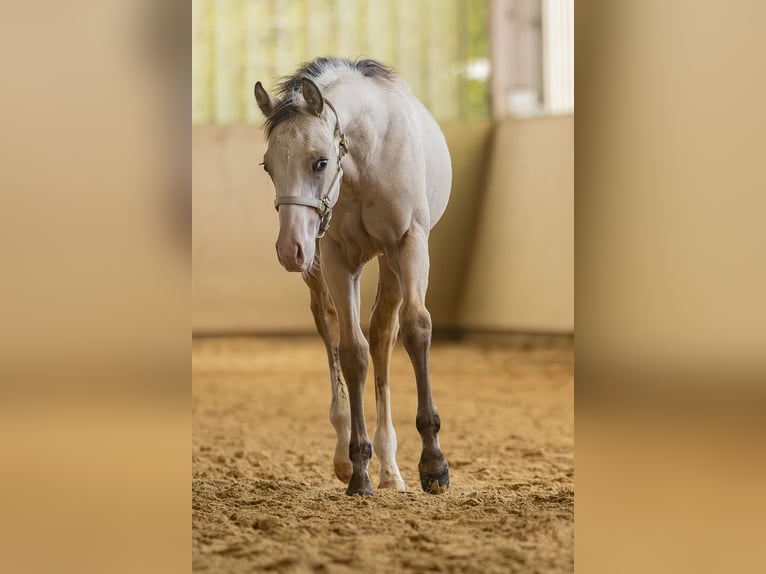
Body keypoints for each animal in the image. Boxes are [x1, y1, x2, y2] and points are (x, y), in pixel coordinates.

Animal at [253, 57, 450, 496]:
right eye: (268, 166)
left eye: (320, 161)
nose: (289, 249)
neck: (367, 156)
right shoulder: (336, 258)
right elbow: (351, 352)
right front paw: (360, 471)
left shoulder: (411, 243)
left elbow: (416, 329)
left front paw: (434, 464)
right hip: (318, 265)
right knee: (333, 329)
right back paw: (348, 455)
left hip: (390, 264)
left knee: (384, 334)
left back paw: (392, 468)